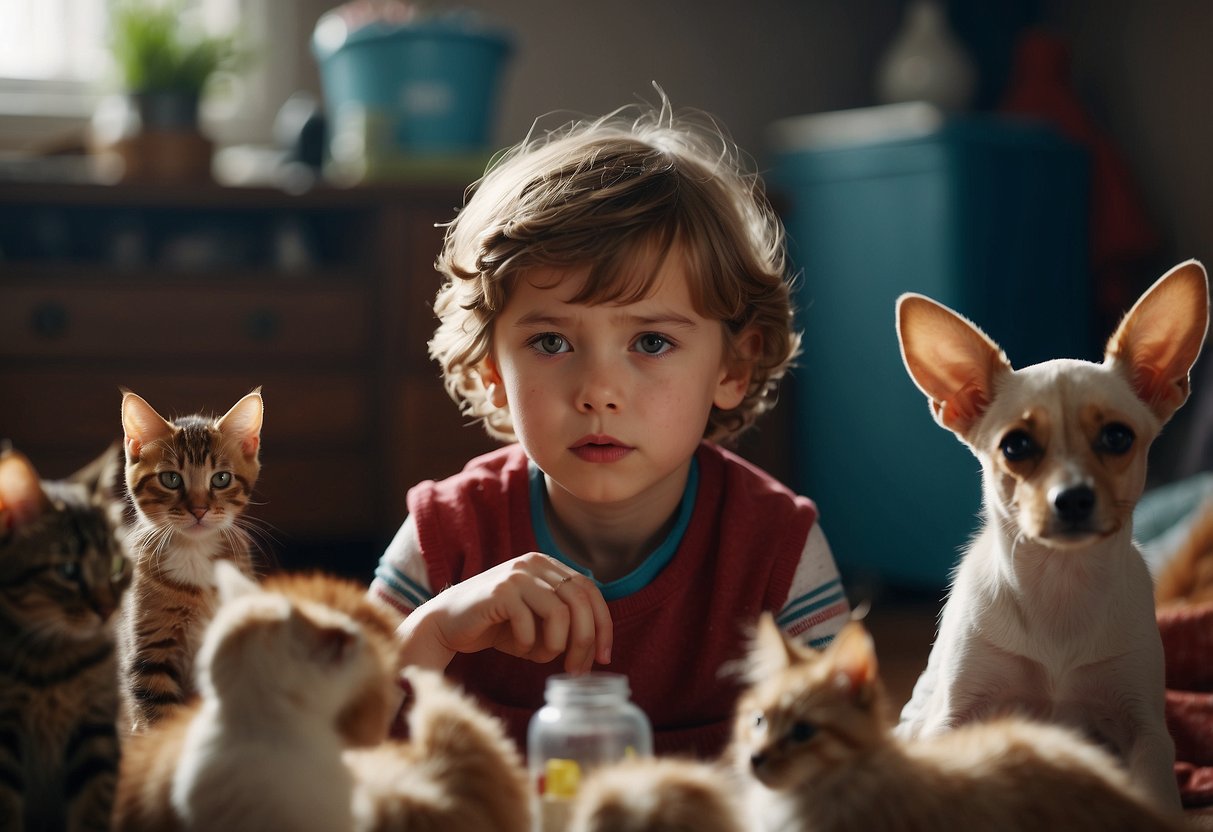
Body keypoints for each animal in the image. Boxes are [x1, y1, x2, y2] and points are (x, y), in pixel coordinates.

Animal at [897, 261, 1208, 815]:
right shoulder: (952, 718)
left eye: (1117, 437)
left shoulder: (1146, 732)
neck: (1061, 584)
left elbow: (1157, 799)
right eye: (1016, 446)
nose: (1074, 498)